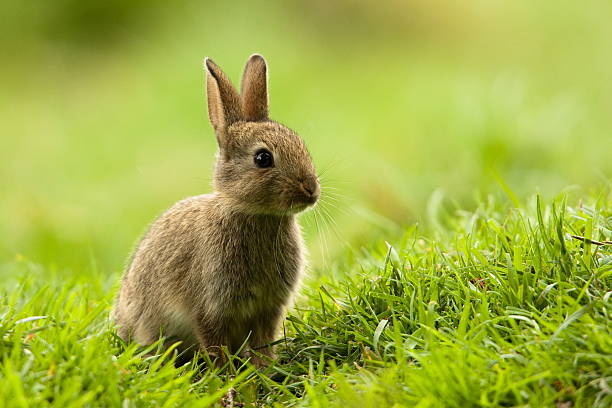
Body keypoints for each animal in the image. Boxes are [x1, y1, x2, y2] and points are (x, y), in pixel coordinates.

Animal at [113, 53, 320, 366]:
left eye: (301, 145)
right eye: (263, 158)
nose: (311, 189)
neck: (255, 215)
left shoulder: (268, 308)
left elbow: (263, 340)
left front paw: (266, 368)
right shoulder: (210, 306)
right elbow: (214, 341)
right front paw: (226, 375)